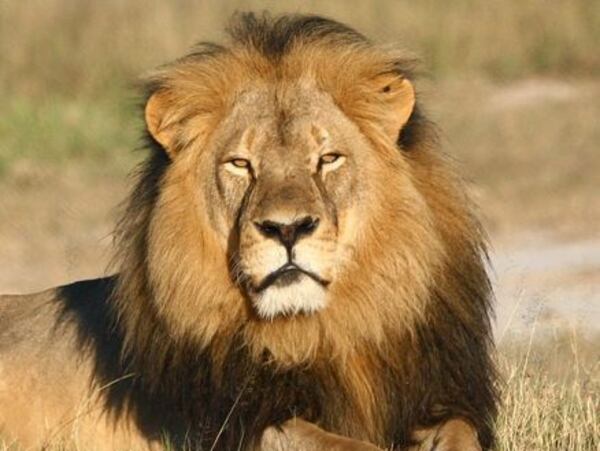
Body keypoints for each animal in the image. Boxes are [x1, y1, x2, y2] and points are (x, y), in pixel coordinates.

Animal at [0, 13, 497, 451]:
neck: (323, 331)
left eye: (328, 159)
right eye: (240, 164)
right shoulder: (238, 425)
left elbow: (462, 433)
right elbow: (341, 443)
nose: (287, 228)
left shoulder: (441, 399)